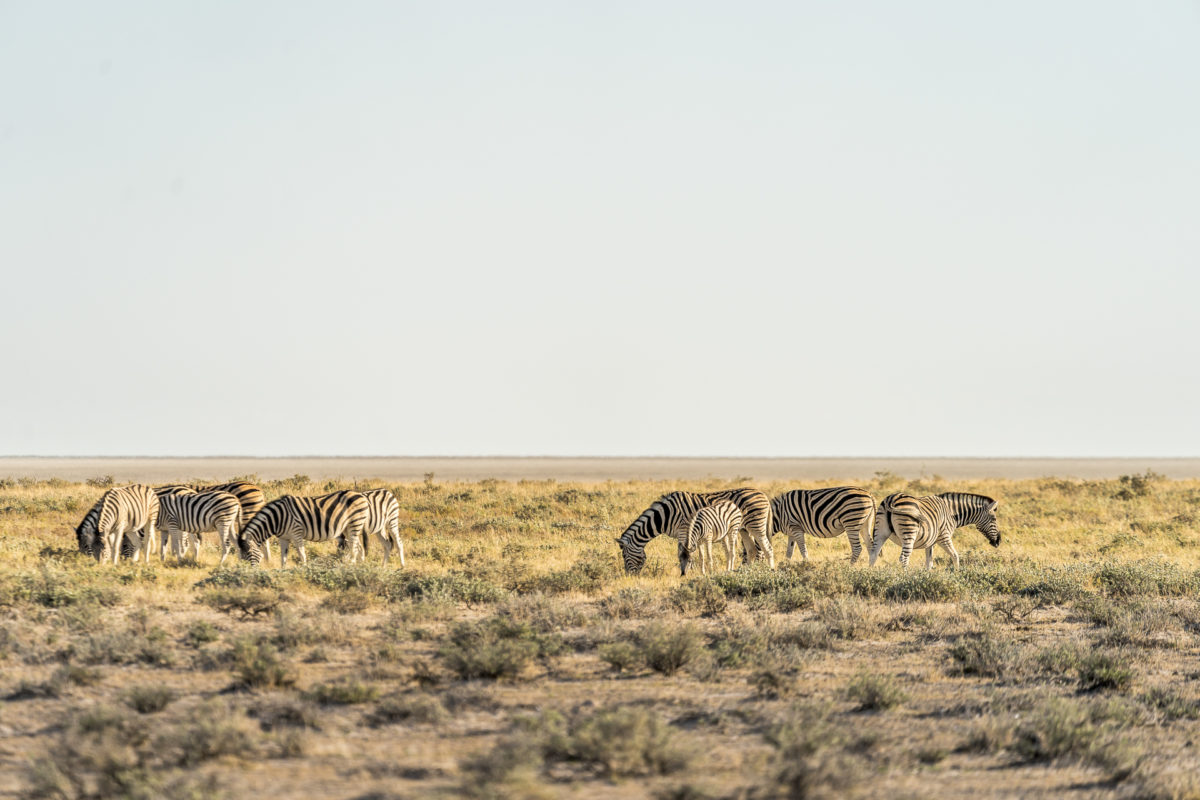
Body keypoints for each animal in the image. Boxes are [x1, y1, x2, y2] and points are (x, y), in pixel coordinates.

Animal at [234, 489, 364, 568]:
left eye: (249, 553)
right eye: (242, 555)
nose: (249, 572)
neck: (277, 518)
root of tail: (360, 494)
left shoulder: (296, 533)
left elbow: (302, 555)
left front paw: (304, 570)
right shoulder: (283, 538)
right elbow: (283, 557)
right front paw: (282, 572)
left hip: (354, 523)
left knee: (354, 548)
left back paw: (351, 566)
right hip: (347, 528)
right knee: (359, 547)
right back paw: (361, 567)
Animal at [614, 489, 772, 575]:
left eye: (624, 556)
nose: (629, 576)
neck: (665, 515)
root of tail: (763, 494)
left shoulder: (683, 530)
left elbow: (684, 551)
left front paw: (687, 569)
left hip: (756, 525)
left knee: (767, 548)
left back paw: (771, 570)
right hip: (745, 529)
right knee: (752, 550)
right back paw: (747, 572)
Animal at [868, 489, 998, 568]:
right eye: (994, 519)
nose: (997, 542)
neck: (951, 513)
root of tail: (891, 499)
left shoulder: (930, 541)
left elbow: (929, 562)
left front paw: (926, 578)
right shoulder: (944, 537)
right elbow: (955, 556)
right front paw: (957, 574)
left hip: (880, 532)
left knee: (873, 555)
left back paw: (871, 575)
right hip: (909, 532)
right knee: (903, 558)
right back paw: (904, 578)